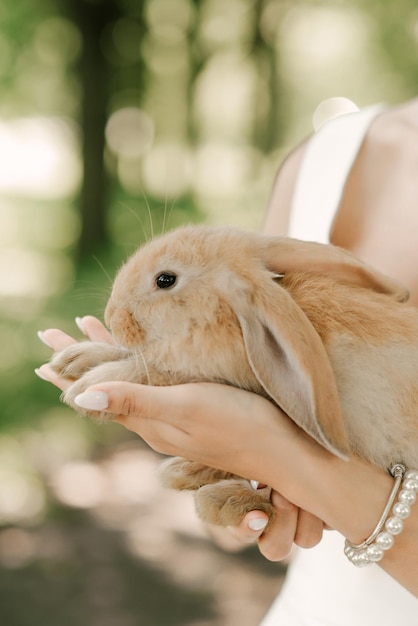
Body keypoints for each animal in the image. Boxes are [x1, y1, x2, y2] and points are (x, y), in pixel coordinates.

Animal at [49, 224, 418, 528]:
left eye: (165, 279)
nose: (112, 316)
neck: (228, 320)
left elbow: (147, 370)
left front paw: (87, 387)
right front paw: (74, 359)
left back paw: (221, 500)